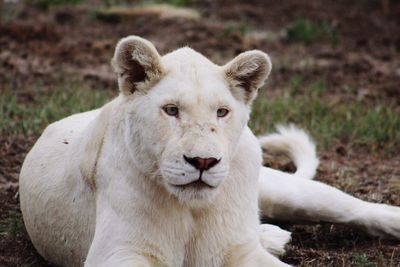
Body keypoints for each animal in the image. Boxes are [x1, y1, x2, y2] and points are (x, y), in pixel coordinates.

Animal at [19, 36, 400, 267]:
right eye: (171, 110)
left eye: (221, 112)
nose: (203, 161)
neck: (191, 209)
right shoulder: (118, 251)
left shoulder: (237, 250)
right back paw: (273, 236)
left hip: (284, 190)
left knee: (355, 208)